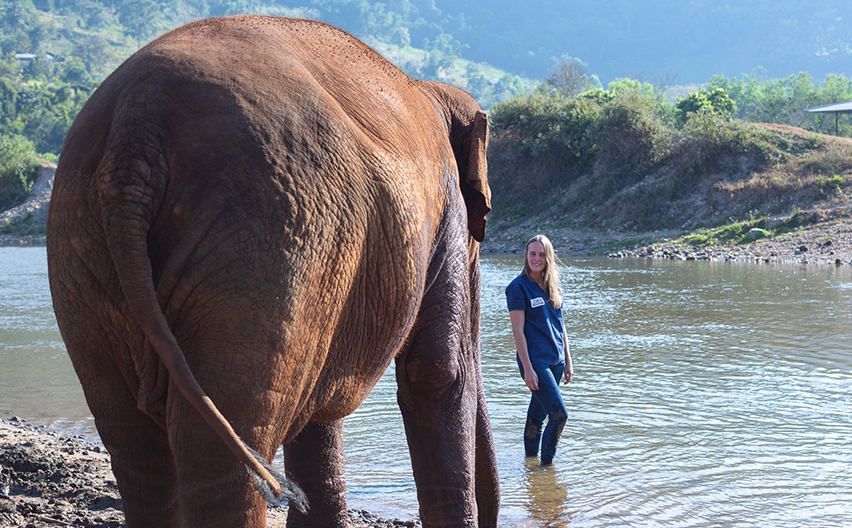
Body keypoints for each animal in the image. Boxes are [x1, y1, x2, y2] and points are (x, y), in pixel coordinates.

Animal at [46, 14, 500, 528]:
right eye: (481, 224)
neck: (430, 91)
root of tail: (137, 127)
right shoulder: (441, 212)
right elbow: (437, 371)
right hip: (269, 247)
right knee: (223, 443)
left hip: (81, 253)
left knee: (135, 442)